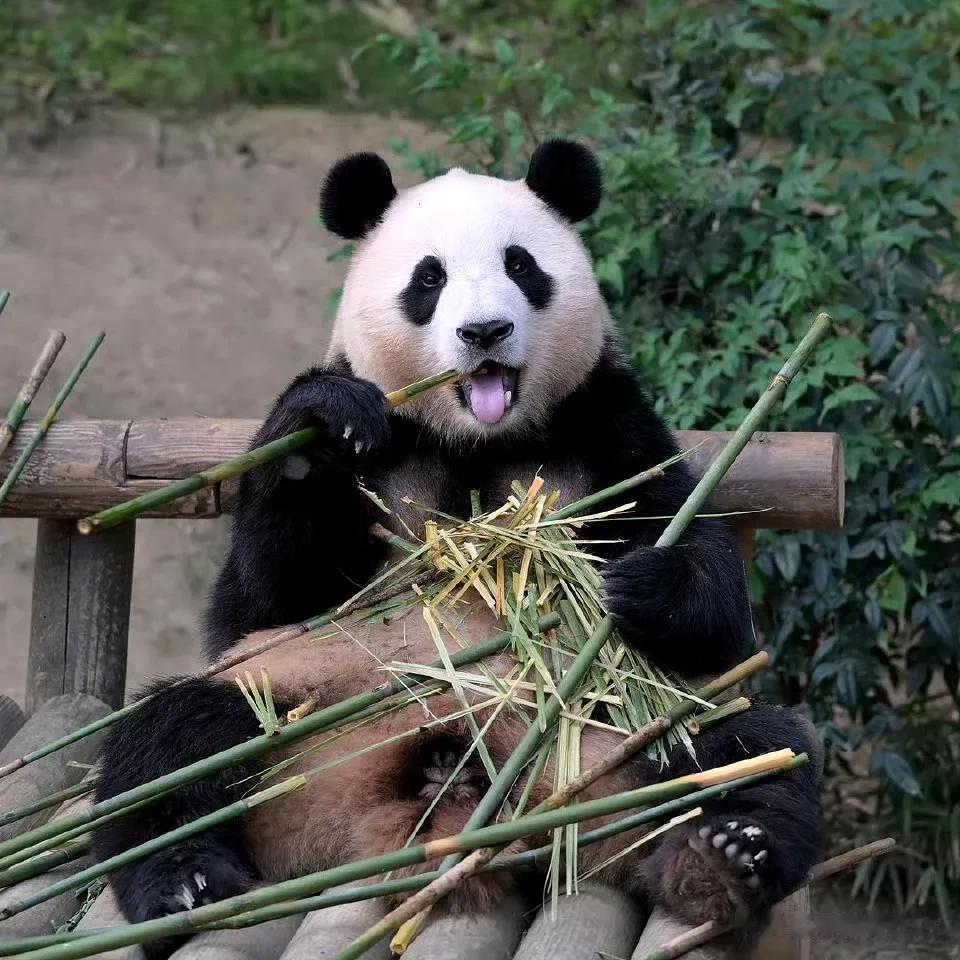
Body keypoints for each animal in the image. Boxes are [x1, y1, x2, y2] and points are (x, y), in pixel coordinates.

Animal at [95, 141, 816, 960]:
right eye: (429, 278)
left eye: (521, 265)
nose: (485, 333)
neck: (476, 439)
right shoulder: (375, 456)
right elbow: (262, 598)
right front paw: (319, 427)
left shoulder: (607, 428)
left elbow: (710, 592)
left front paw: (645, 584)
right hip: (292, 717)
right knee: (172, 742)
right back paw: (189, 883)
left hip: (626, 732)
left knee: (744, 752)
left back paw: (722, 860)